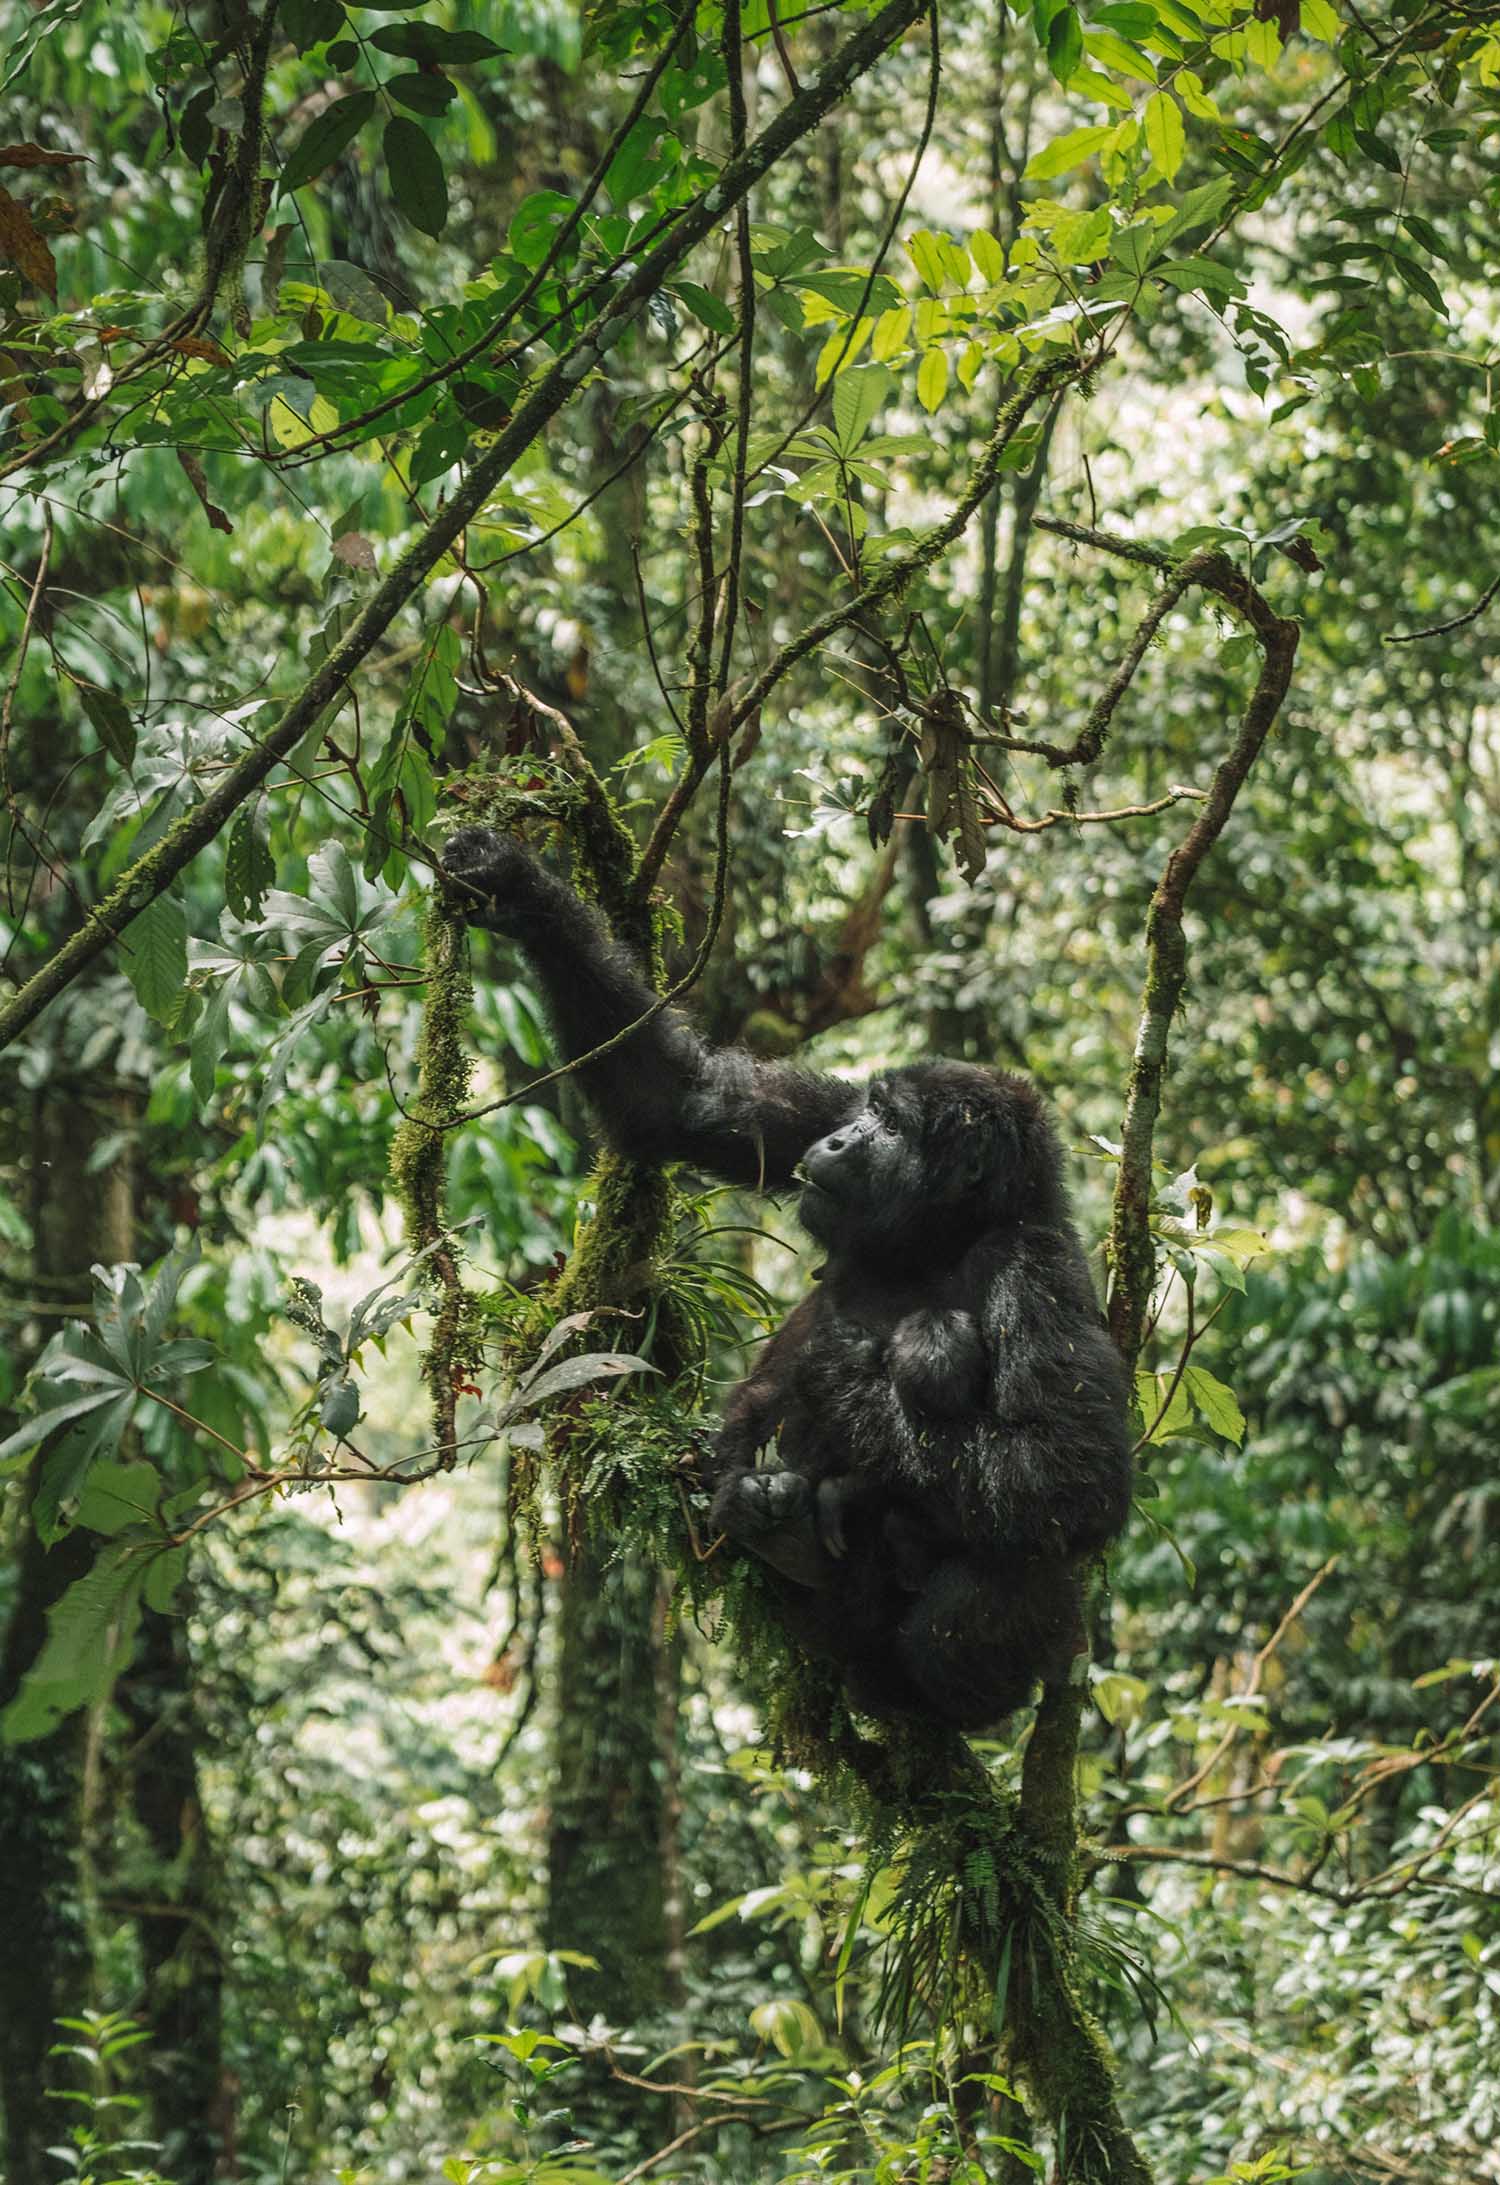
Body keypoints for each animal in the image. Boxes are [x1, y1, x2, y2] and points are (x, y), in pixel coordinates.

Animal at [441, 825, 1137, 1730]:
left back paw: (918, 1690)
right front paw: (513, 882)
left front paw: (846, 1380)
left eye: (893, 1125)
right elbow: (684, 1098)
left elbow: (1067, 1474)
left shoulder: (1040, 1270)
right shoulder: (816, 1109)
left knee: (1013, 1563)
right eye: (867, 1107)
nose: (841, 1142)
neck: (936, 1235)